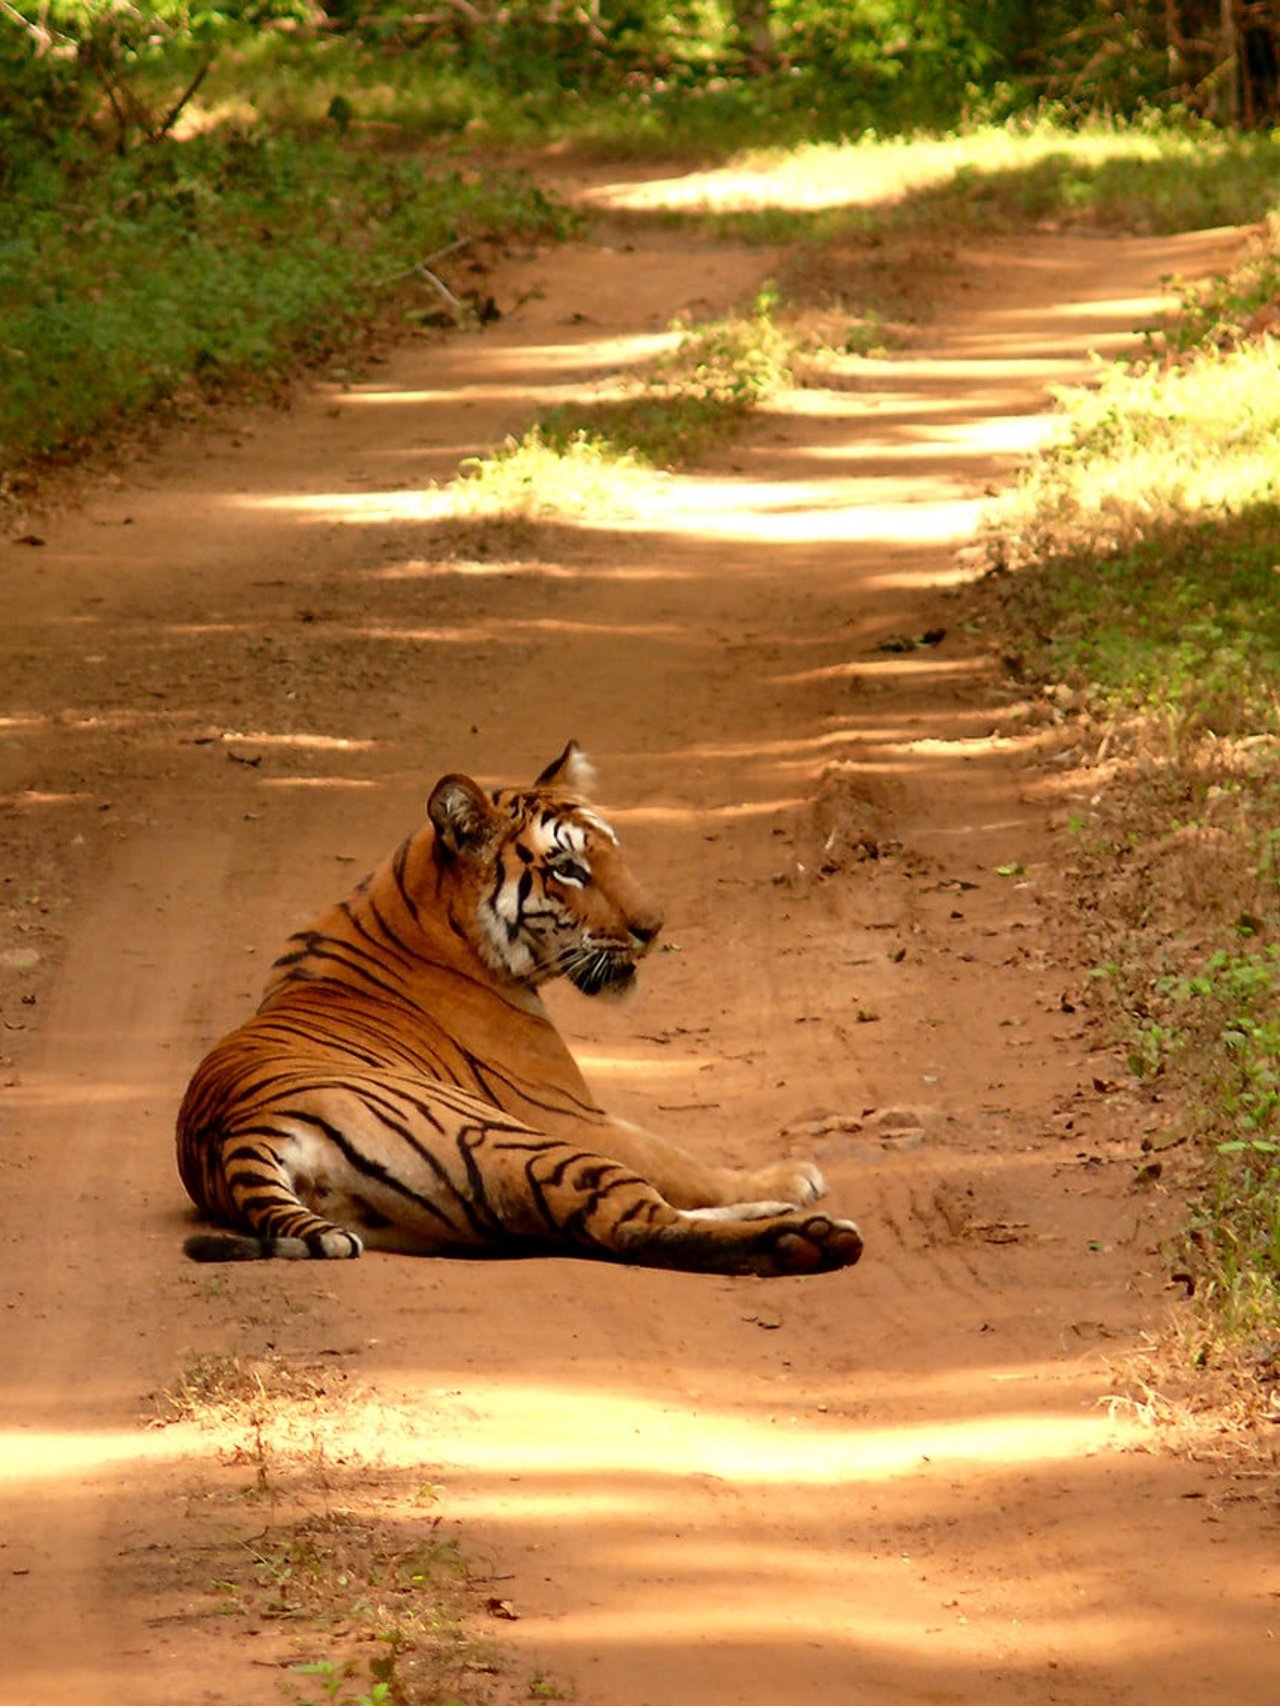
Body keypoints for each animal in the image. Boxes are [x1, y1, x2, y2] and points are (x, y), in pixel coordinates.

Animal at [178, 740, 863, 1276]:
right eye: (569, 869)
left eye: (612, 852)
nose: (653, 928)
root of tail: (240, 1135)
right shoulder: (569, 1111)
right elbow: (682, 1160)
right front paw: (789, 1177)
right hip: (516, 1138)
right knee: (635, 1224)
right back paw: (806, 1237)